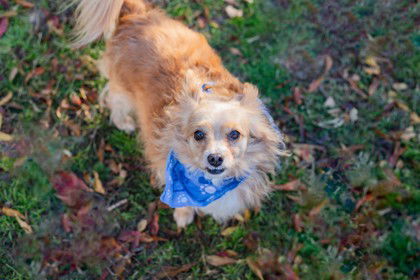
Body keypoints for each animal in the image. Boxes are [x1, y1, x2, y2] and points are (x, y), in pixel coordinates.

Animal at [73, 0, 286, 228]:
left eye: (235, 134)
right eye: (198, 134)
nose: (215, 158)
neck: (209, 184)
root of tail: (138, 15)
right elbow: (183, 202)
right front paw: (183, 214)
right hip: (122, 86)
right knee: (114, 100)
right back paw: (124, 122)